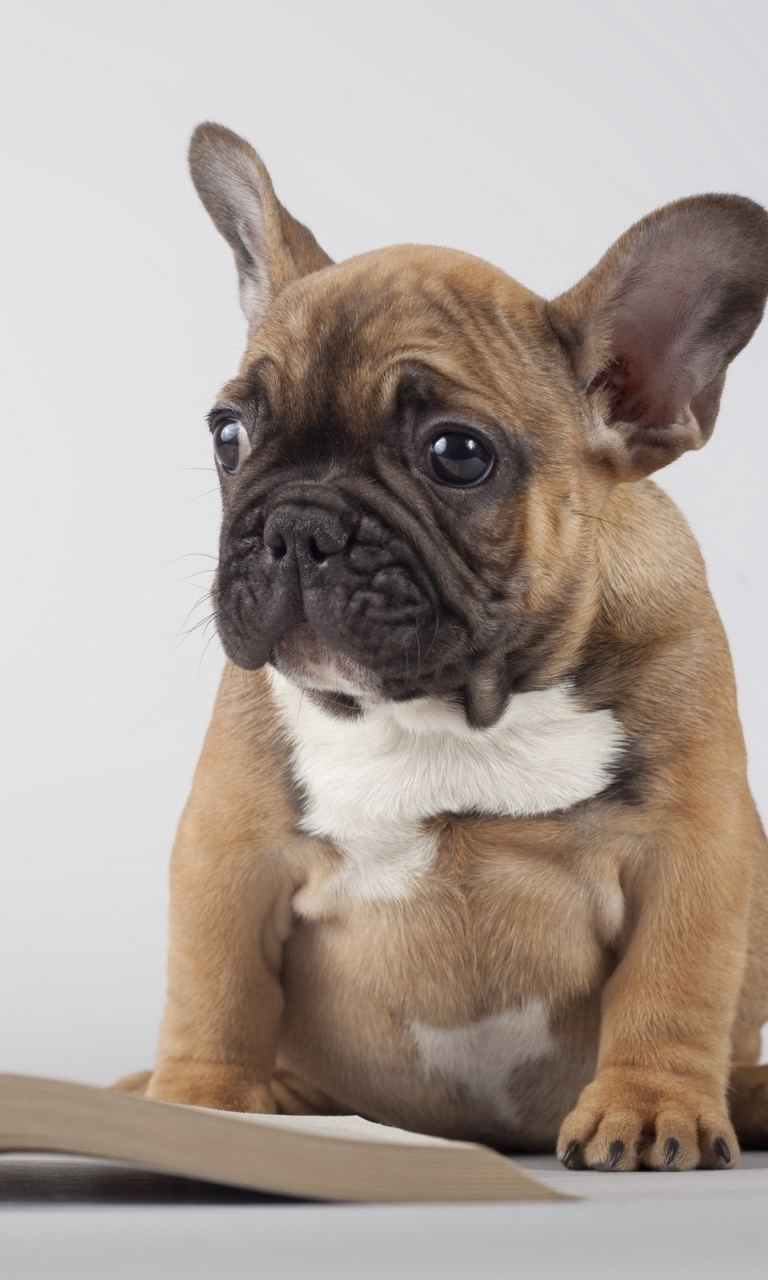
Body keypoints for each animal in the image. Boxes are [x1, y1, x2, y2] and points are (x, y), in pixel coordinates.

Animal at [118, 122, 768, 1172]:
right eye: (228, 435)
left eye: (457, 455)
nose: (297, 525)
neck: (451, 708)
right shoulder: (230, 848)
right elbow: (214, 991)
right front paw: (203, 1108)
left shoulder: (688, 850)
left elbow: (670, 989)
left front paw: (647, 1106)